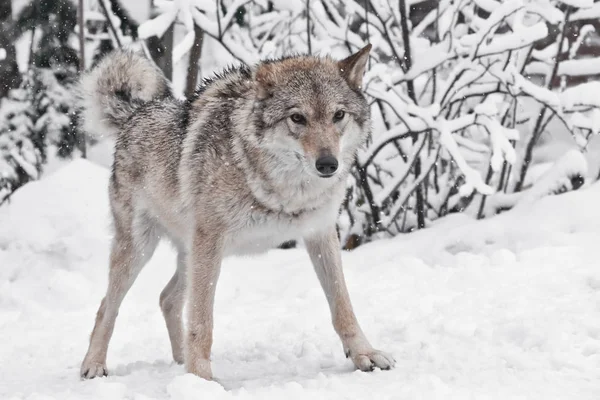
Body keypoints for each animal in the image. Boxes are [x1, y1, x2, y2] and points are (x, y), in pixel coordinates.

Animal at [79, 44, 396, 382]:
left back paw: (180, 363)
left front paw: (365, 355)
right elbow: (202, 321)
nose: (328, 164)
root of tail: (137, 112)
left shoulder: (321, 234)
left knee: (168, 299)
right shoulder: (210, 241)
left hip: (188, 255)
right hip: (141, 251)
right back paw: (94, 365)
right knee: (107, 307)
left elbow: (343, 306)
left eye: (338, 115)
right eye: (297, 118)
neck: (285, 191)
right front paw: (202, 381)